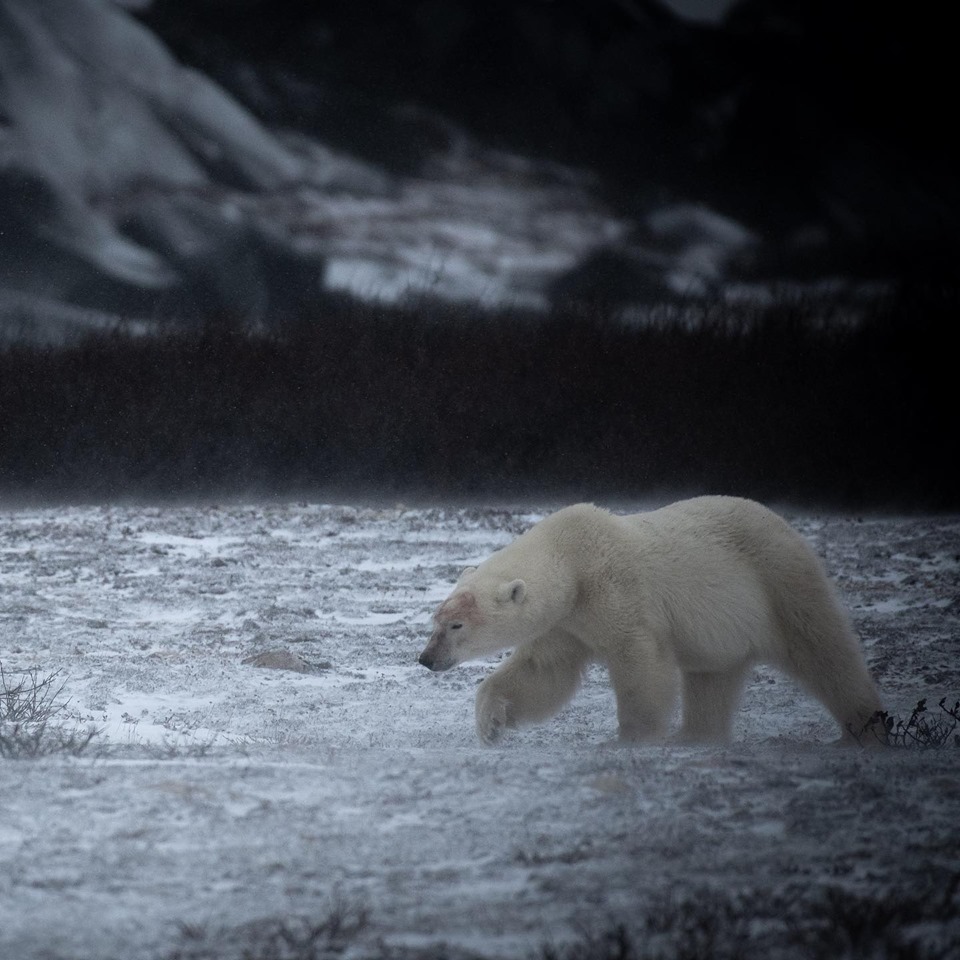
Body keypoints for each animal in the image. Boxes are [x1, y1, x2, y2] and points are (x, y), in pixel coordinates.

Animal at [417, 497, 884, 746]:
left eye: (457, 626)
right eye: (437, 619)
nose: (426, 659)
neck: (572, 560)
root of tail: (784, 525)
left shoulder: (618, 592)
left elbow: (639, 660)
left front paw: (631, 737)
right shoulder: (565, 621)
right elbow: (542, 671)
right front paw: (491, 723)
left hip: (778, 578)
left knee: (822, 648)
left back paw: (861, 728)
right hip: (723, 631)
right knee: (711, 679)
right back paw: (693, 737)